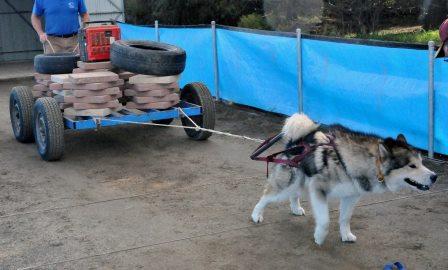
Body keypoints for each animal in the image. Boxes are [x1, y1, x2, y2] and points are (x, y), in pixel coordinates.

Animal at [252, 113, 438, 245]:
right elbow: (325, 221)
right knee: (266, 196)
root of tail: (297, 140)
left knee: (294, 193)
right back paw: (256, 214)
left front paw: (346, 234)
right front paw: (319, 237)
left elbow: (345, 218)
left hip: (300, 181)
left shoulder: (351, 196)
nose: (434, 176)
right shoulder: (318, 189)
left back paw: (295, 208)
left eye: (421, 162)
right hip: (287, 184)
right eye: (412, 166)